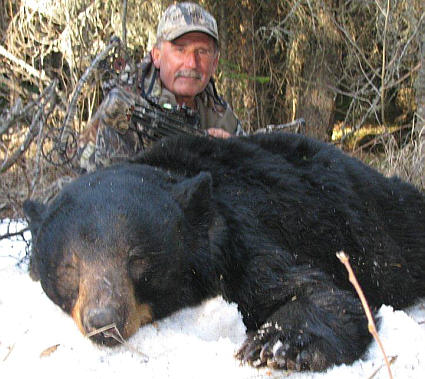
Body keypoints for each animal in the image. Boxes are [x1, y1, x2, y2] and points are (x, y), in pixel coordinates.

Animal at [24, 134, 424, 372]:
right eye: (69, 268)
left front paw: (275, 343)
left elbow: (326, 294)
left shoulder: (243, 238)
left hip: (386, 225)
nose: (103, 321)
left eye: (137, 259)